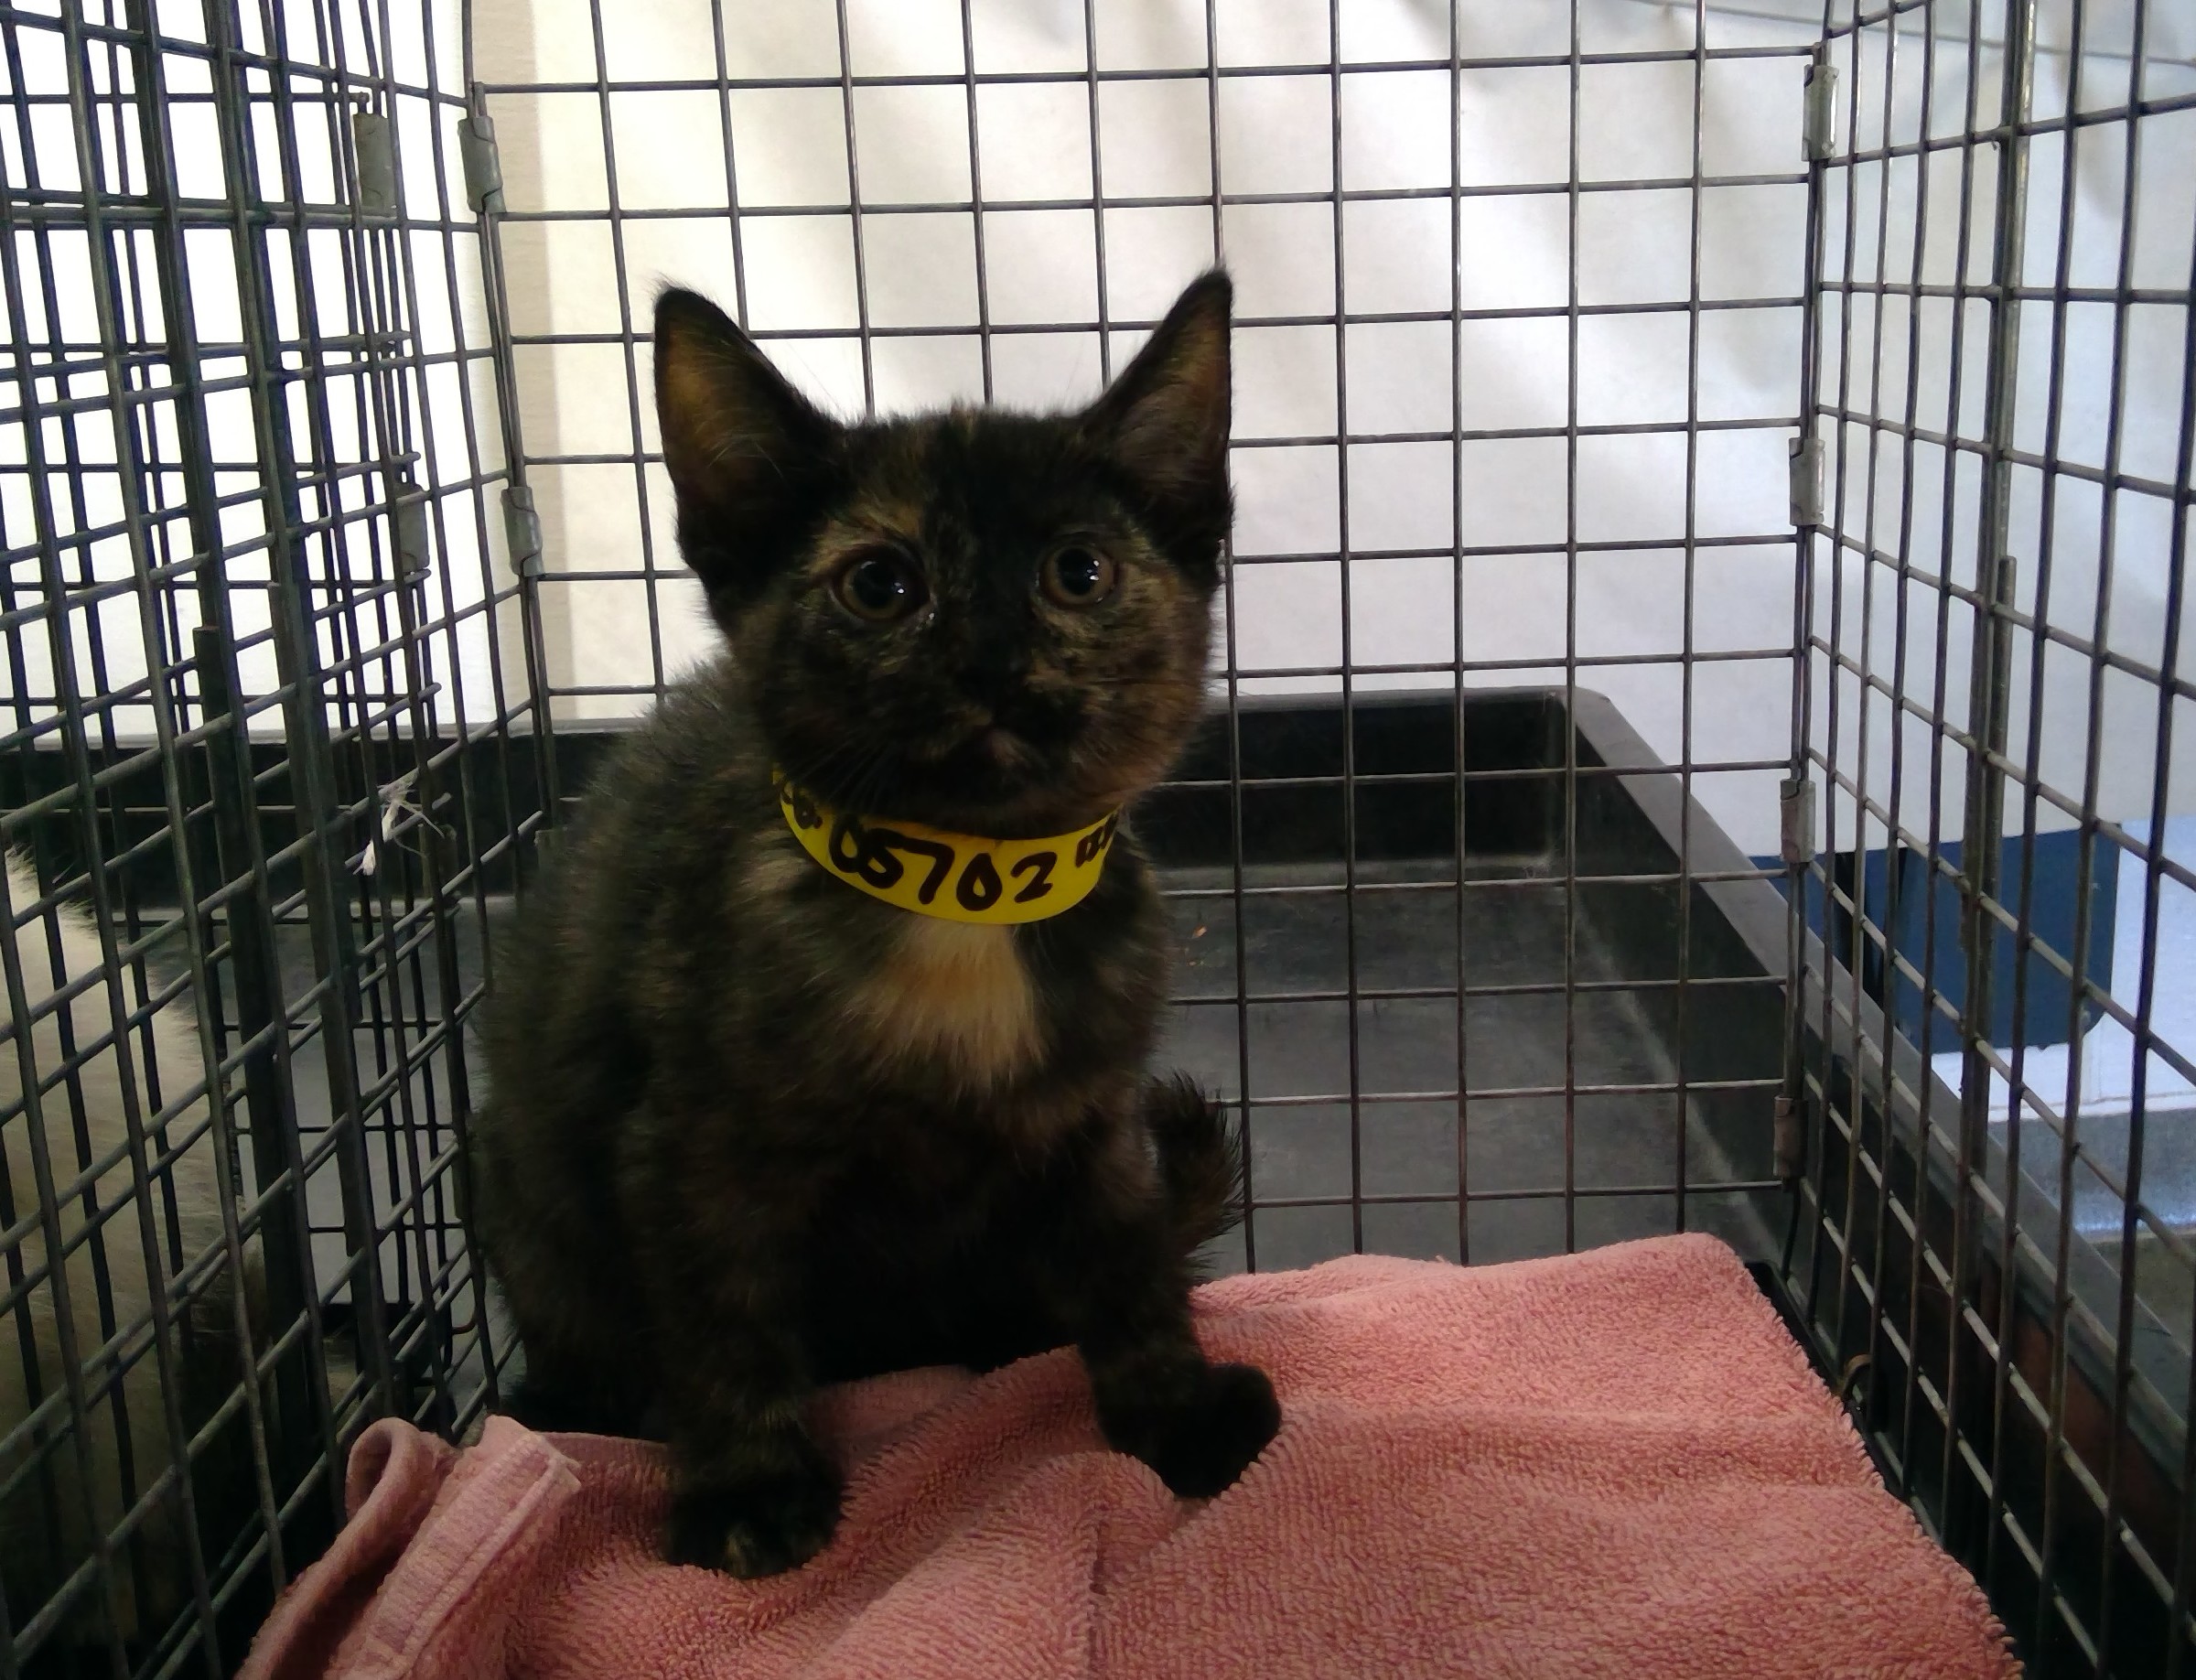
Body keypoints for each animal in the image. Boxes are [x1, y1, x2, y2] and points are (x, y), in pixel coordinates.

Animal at [469, 269, 1279, 1578]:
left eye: (1080, 573)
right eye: (881, 585)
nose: (991, 660)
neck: (957, 892)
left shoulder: (1095, 1119)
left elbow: (1129, 1265)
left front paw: (1172, 1408)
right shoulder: (688, 1150)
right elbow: (724, 1327)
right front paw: (749, 1488)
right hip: (522, 1188)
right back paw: (561, 1405)